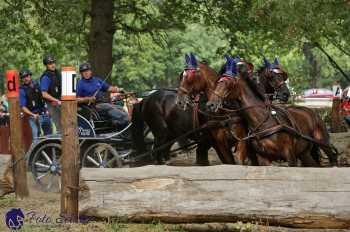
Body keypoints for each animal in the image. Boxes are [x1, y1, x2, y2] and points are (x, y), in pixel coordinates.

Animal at [206, 62, 338, 166]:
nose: (210, 104)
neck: (263, 121)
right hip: (304, 153)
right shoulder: (264, 158)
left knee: (333, 157)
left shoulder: (290, 155)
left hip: (323, 142)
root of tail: (312, 112)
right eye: (218, 82)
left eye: (228, 83)